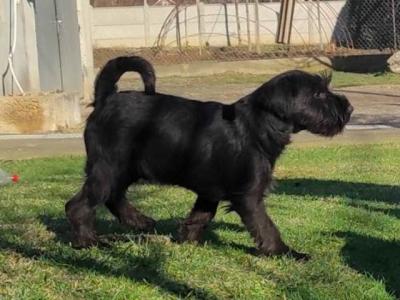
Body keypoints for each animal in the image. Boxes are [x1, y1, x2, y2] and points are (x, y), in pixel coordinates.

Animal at [66, 56, 354, 260]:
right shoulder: (249, 196)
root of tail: (105, 99)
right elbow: (266, 226)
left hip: (125, 170)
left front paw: (186, 239)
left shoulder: (209, 191)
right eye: (318, 94)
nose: (350, 108)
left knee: (113, 197)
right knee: (79, 205)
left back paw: (140, 221)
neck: (259, 124)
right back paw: (88, 241)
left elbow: (201, 215)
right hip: (110, 167)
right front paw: (285, 252)